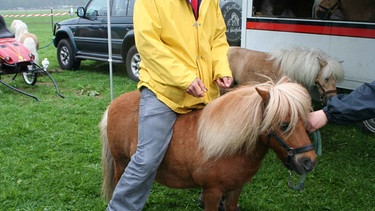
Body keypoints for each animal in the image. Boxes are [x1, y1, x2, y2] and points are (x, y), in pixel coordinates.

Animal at [99, 77, 318, 211]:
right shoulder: (212, 192)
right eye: (284, 124)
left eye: (304, 121)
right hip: (122, 164)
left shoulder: (234, 190)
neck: (228, 145)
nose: (309, 162)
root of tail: (112, 105)